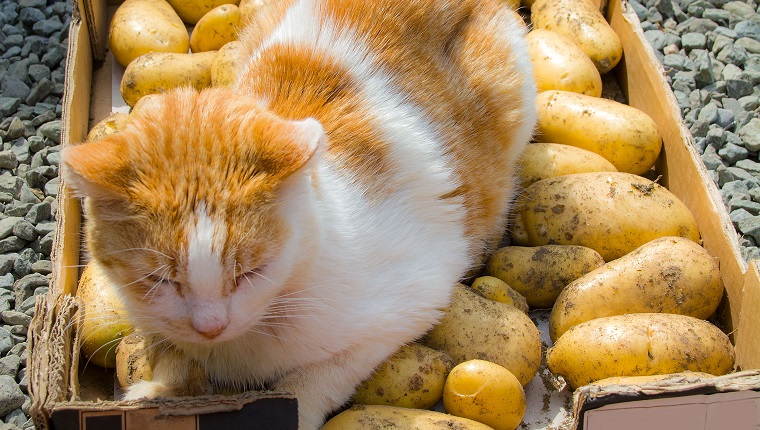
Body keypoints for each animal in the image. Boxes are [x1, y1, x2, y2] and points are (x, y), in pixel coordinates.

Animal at [60, 0, 536, 424]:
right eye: (159, 280)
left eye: (250, 273)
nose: (210, 326)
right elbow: (174, 360)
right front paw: (158, 393)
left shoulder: (410, 300)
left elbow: (313, 381)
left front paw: (296, 405)